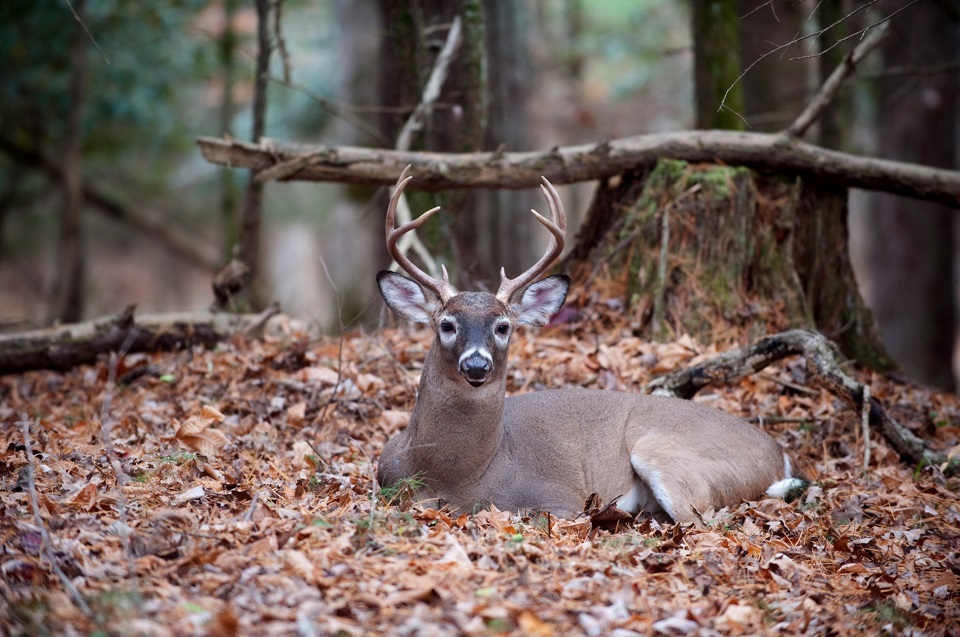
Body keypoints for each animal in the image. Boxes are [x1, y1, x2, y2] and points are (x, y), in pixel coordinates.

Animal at [376, 165, 804, 520]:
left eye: (503, 327)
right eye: (446, 324)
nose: (477, 365)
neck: (457, 475)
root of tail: (779, 454)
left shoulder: (560, 497)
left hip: (667, 454)